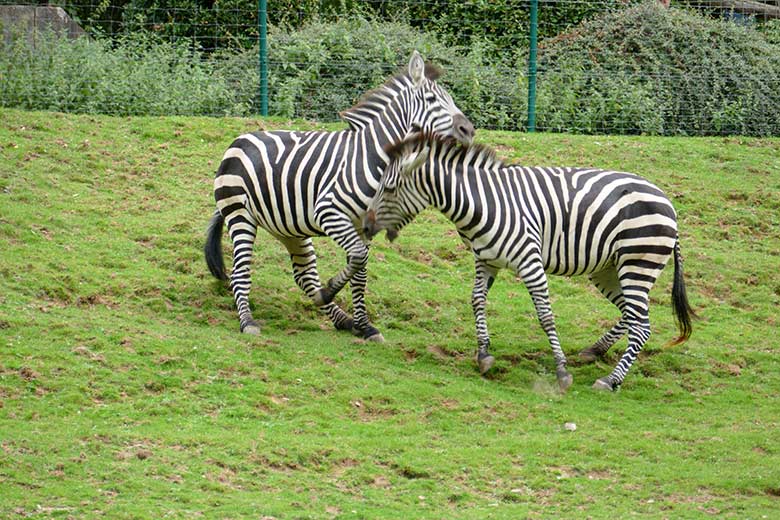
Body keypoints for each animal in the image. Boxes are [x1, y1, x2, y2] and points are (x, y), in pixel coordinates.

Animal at [206, 50, 476, 340]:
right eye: (431, 100)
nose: (469, 131)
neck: (374, 158)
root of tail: (239, 140)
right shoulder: (328, 212)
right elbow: (358, 258)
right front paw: (334, 293)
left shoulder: (363, 226)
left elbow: (360, 272)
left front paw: (363, 325)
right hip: (240, 214)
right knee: (241, 270)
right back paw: (248, 321)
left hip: (289, 228)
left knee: (304, 276)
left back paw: (340, 317)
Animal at [362, 134, 696, 390]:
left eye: (388, 188)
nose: (364, 227)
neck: (483, 203)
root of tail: (668, 203)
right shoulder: (486, 261)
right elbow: (477, 300)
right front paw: (484, 355)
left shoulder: (529, 261)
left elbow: (545, 315)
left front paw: (561, 371)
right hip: (608, 269)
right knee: (631, 314)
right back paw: (594, 351)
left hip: (637, 263)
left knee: (641, 326)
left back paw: (611, 380)